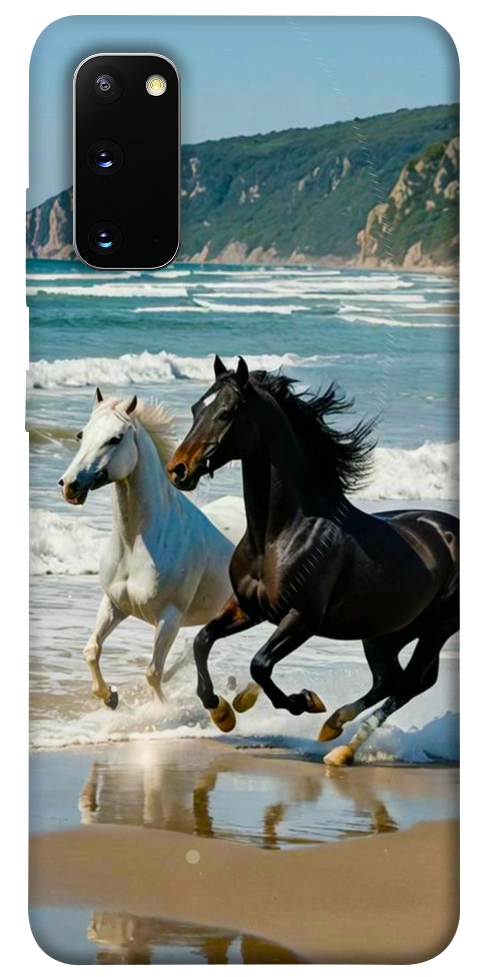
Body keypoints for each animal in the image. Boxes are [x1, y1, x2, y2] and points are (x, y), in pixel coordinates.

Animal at [59, 388, 234, 709]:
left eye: (115, 438)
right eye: (81, 434)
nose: (69, 485)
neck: (135, 544)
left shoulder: (169, 618)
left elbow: (153, 672)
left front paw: (161, 711)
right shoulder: (114, 604)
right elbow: (92, 650)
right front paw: (110, 697)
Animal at [166, 356, 459, 765]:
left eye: (225, 413)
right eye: (196, 409)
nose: (178, 469)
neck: (280, 534)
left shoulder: (302, 618)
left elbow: (260, 664)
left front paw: (303, 701)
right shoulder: (248, 608)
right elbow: (202, 640)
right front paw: (223, 711)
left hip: (436, 628)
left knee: (410, 683)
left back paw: (341, 746)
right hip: (386, 632)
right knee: (390, 679)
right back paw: (334, 729)